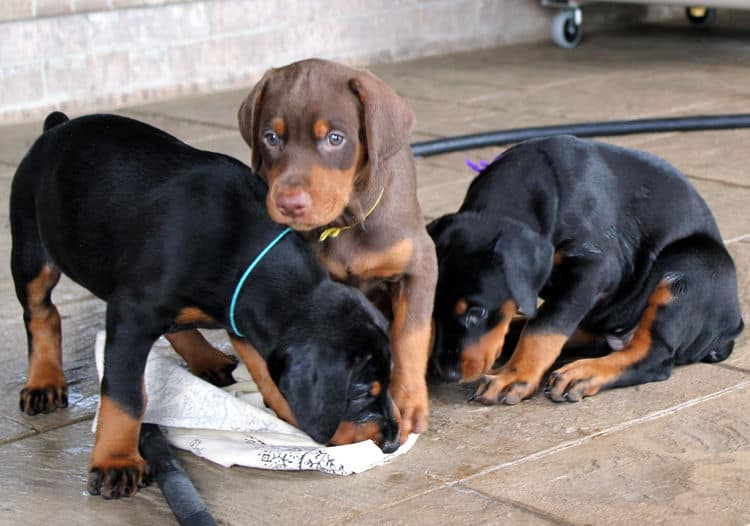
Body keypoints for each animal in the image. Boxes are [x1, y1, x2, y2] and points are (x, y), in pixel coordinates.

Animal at [10, 113, 400, 502]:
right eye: (361, 392)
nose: (394, 441)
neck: (239, 243)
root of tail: (57, 126)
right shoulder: (132, 316)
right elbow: (125, 394)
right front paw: (116, 461)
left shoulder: (240, 311)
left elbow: (266, 373)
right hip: (31, 250)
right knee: (42, 313)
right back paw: (44, 382)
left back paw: (206, 358)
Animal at [235, 59, 434, 442]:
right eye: (271, 137)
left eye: (335, 138)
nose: (289, 203)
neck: (346, 221)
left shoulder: (419, 264)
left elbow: (409, 335)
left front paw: (408, 401)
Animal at [428, 135, 748, 404]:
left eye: (477, 312)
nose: (448, 374)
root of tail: (730, 328)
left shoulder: (593, 269)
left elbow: (544, 327)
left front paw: (513, 378)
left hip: (691, 271)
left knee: (652, 357)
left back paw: (583, 374)